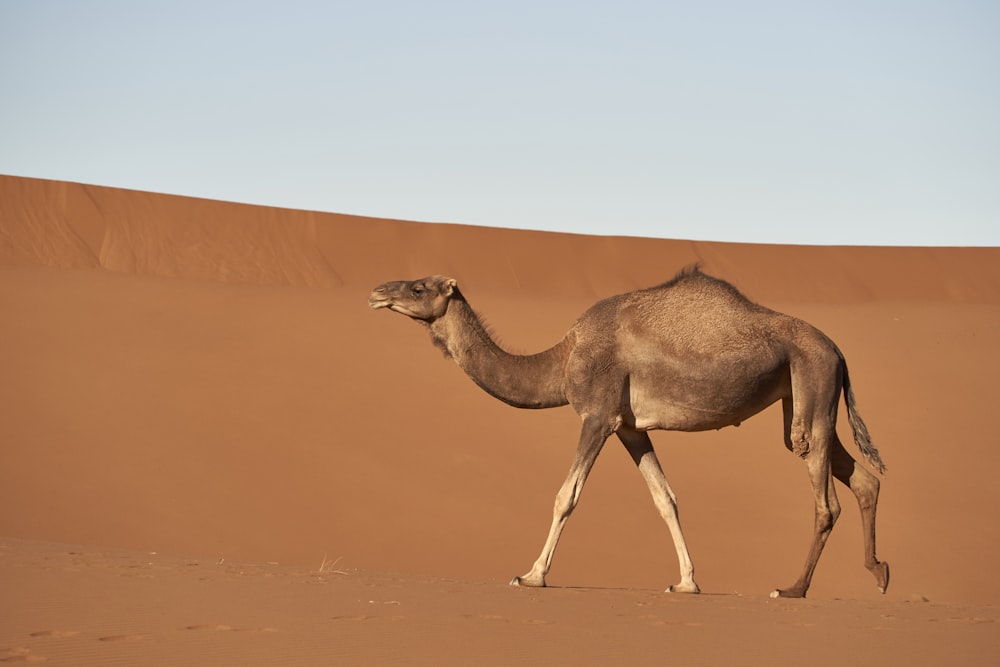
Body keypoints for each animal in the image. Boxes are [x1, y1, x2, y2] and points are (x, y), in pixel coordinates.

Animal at [370, 268, 892, 600]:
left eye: (418, 287)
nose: (377, 293)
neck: (562, 358)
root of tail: (838, 350)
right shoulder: (629, 428)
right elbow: (665, 498)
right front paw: (686, 582)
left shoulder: (597, 414)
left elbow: (566, 495)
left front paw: (532, 575)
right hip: (808, 395)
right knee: (863, 478)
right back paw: (879, 572)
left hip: (813, 381)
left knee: (825, 498)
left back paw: (793, 588)